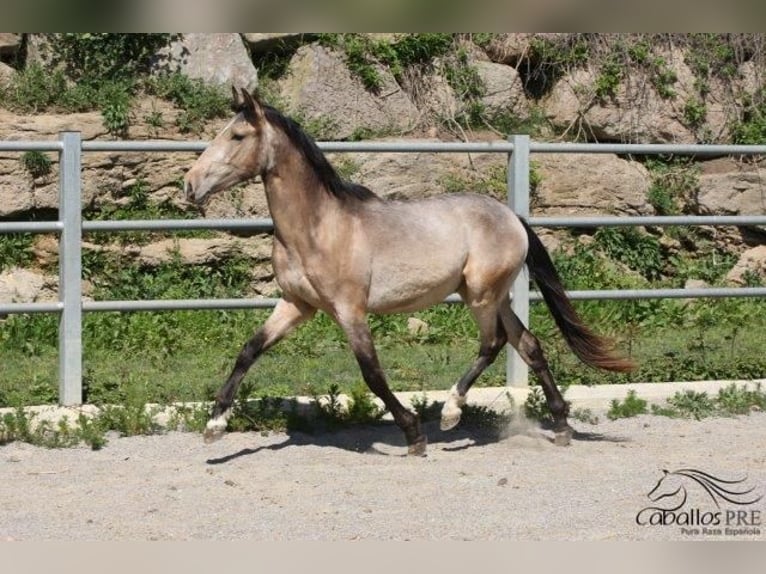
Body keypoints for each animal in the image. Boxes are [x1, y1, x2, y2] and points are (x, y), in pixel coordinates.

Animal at [182, 88, 636, 456]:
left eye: (237, 136)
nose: (189, 184)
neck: (317, 228)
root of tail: (513, 217)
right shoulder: (297, 304)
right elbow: (249, 350)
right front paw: (214, 426)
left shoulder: (349, 310)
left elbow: (372, 374)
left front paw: (414, 435)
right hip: (494, 295)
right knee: (528, 344)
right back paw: (561, 426)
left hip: (481, 295)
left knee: (493, 343)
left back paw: (451, 414)